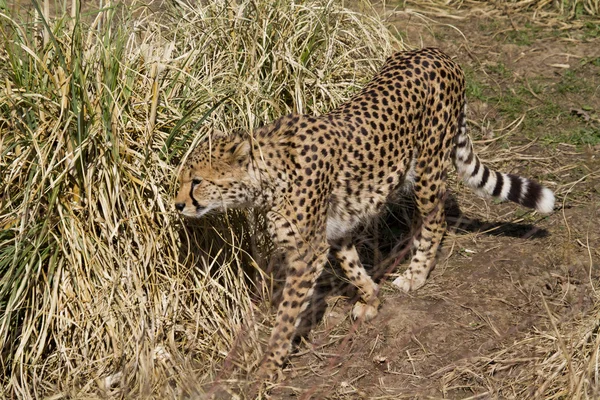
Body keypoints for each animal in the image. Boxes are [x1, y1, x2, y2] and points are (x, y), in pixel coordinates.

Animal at [176, 48, 556, 380]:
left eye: (197, 181)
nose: (178, 205)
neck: (268, 177)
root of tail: (437, 52)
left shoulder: (307, 252)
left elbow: (287, 315)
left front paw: (270, 365)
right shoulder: (334, 230)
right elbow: (352, 267)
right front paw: (372, 298)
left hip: (429, 169)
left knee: (436, 218)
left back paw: (416, 273)